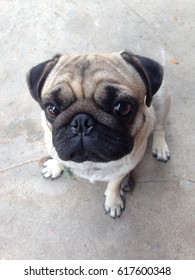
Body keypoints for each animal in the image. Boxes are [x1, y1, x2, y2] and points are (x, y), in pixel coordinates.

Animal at [26, 50, 170, 219]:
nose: (82, 122)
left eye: (122, 107)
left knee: (159, 127)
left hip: (162, 99)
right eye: (52, 109)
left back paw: (160, 149)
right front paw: (55, 166)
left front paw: (113, 201)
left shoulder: (124, 167)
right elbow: (59, 158)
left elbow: (114, 183)